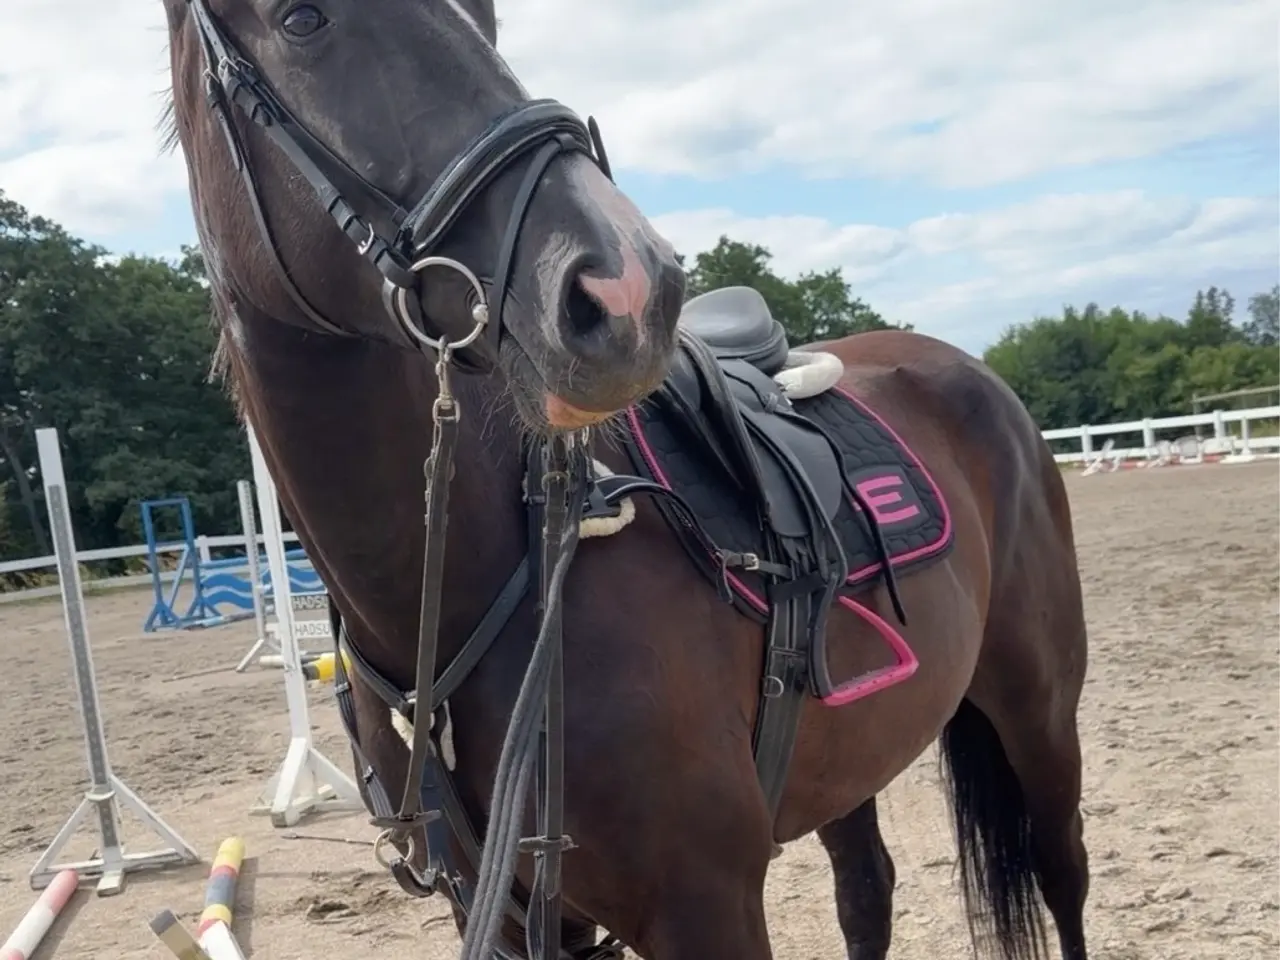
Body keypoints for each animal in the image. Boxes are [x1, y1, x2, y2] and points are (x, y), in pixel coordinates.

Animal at [161, 2, 1091, 958]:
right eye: (303, 20)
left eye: (488, 19)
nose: (629, 288)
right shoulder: (500, 914)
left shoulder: (706, 907)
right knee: (866, 892)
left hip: (1040, 714)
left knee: (1061, 871)